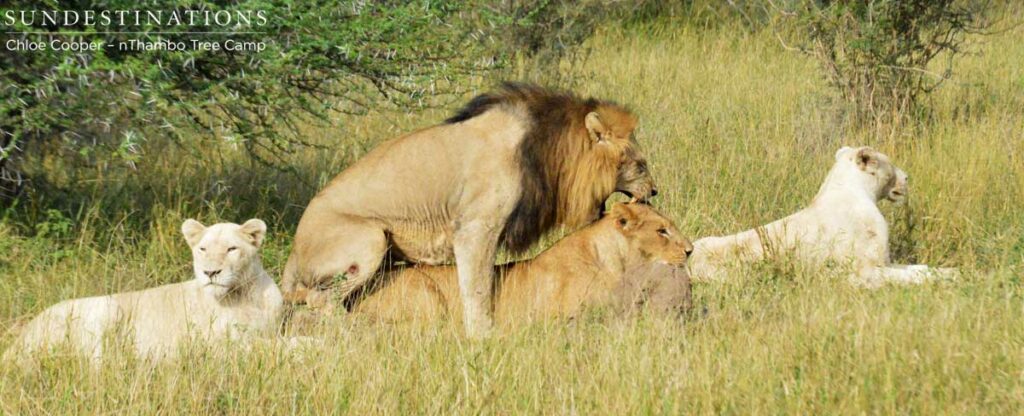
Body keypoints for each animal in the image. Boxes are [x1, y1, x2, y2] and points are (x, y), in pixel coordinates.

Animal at [4, 219, 284, 361]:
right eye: (203, 249)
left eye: (231, 249)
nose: (210, 272)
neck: (246, 296)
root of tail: (21, 337)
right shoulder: (221, 344)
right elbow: (274, 346)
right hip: (107, 308)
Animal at [281, 82, 655, 336]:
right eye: (640, 164)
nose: (655, 191)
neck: (546, 150)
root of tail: (294, 250)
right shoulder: (476, 229)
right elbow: (476, 288)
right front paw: (483, 335)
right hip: (371, 239)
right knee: (316, 300)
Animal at [688, 146, 958, 287]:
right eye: (890, 164)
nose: (906, 178)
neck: (857, 189)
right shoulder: (863, 271)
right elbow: (913, 275)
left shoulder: (885, 260)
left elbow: (920, 267)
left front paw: (953, 271)